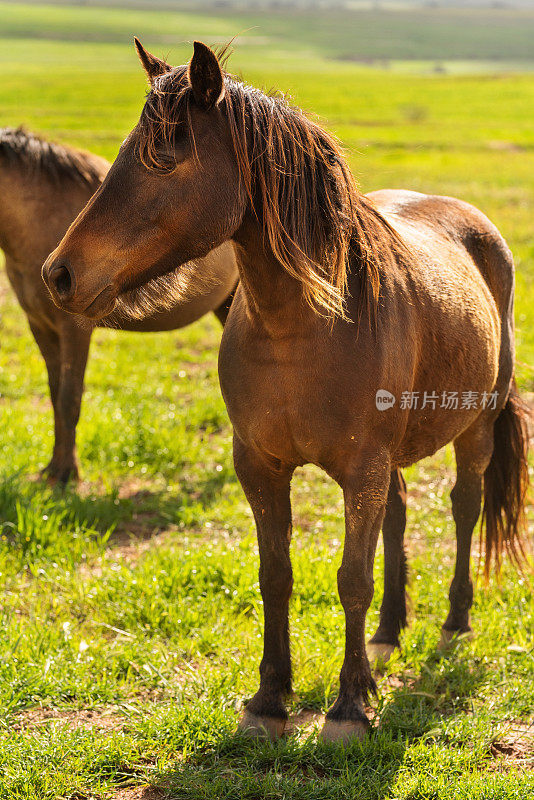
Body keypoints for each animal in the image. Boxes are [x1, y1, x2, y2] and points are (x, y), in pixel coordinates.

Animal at [0, 126, 239, 484]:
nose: (57, 275)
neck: (39, 216)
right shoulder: (40, 326)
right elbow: (55, 396)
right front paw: (52, 468)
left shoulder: (74, 330)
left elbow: (69, 399)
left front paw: (67, 474)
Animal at [43, 42, 532, 744]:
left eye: (167, 155)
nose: (60, 275)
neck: (301, 327)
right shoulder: (261, 465)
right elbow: (276, 576)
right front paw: (270, 699)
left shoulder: (361, 468)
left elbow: (351, 579)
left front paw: (351, 706)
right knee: (398, 517)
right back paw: (389, 632)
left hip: (475, 428)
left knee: (464, 508)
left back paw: (453, 623)